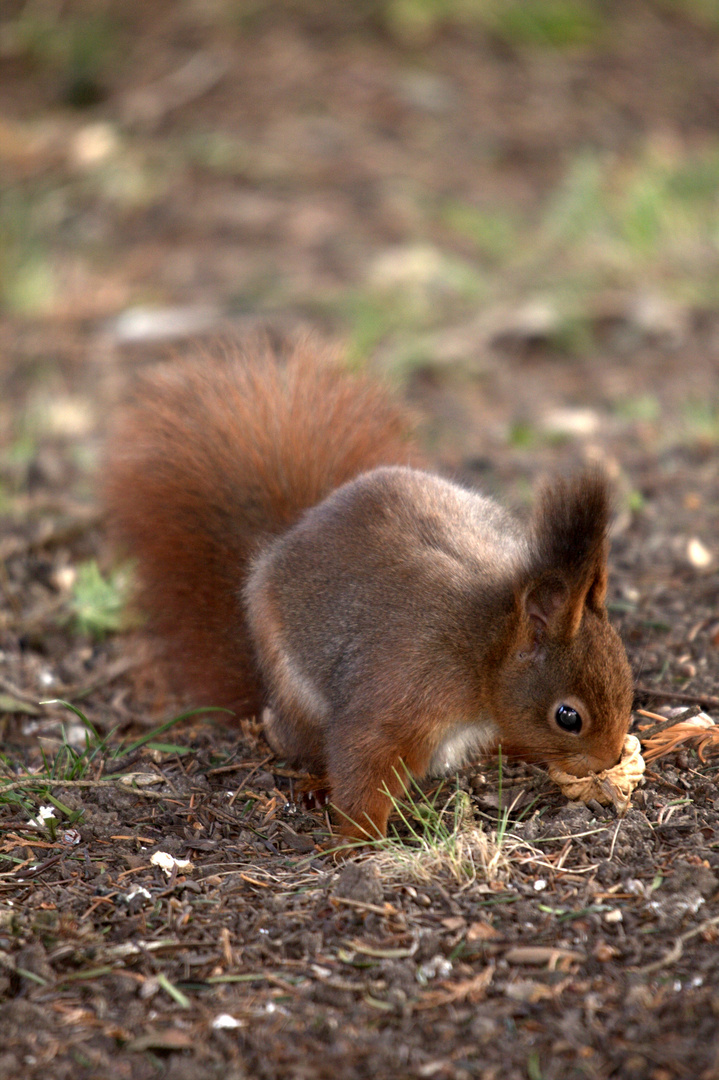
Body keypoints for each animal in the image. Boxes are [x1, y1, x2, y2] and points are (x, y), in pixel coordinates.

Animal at [103, 336, 630, 842]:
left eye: (629, 679)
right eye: (568, 717)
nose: (608, 759)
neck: (483, 650)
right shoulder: (407, 684)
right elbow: (364, 756)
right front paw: (358, 838)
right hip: (296, 700)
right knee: (300, 743)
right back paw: (316, 782)